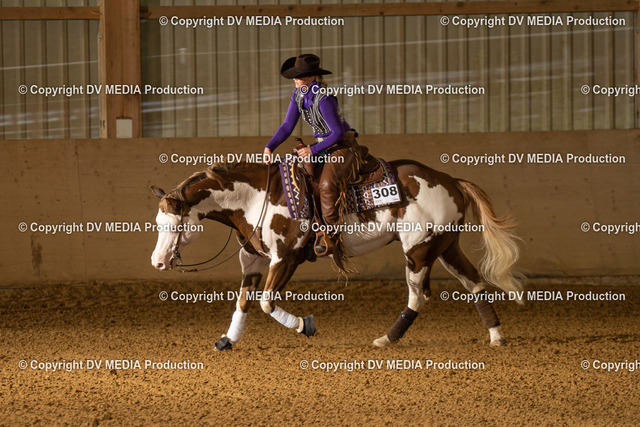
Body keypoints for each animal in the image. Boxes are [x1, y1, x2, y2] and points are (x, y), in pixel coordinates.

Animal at [150, 158, 523, 350]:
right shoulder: (253, 260)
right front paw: (228, 339)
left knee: (419, 296)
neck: (254, 198)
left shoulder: (285, 258)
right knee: (474, 283)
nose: (157, 262)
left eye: (172, 224)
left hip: (418, 252)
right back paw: (496, 336)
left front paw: (305, 326)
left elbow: (267, 303)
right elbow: (243, 302)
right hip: (445, 246)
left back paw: (386, 339)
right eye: (157, 222)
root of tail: (451, 180)